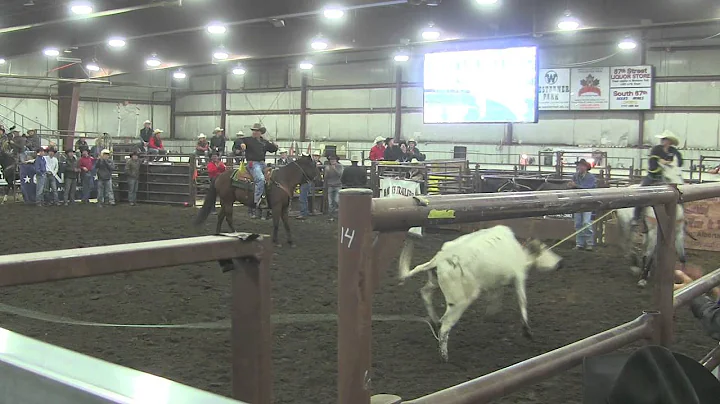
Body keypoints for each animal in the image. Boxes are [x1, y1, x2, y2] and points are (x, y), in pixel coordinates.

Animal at [400, 226, 564, 362]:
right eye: (544, 248)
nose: (560, 262)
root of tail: (439, 259)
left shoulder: (495, 282)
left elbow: (495, 297)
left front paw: (491, 315)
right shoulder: (519, 276)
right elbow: (522, 300)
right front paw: (527, 331)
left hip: (435, 282)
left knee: (425, 293)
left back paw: (434, 322)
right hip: (459, 301)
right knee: (445, 325)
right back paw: (444, 355)